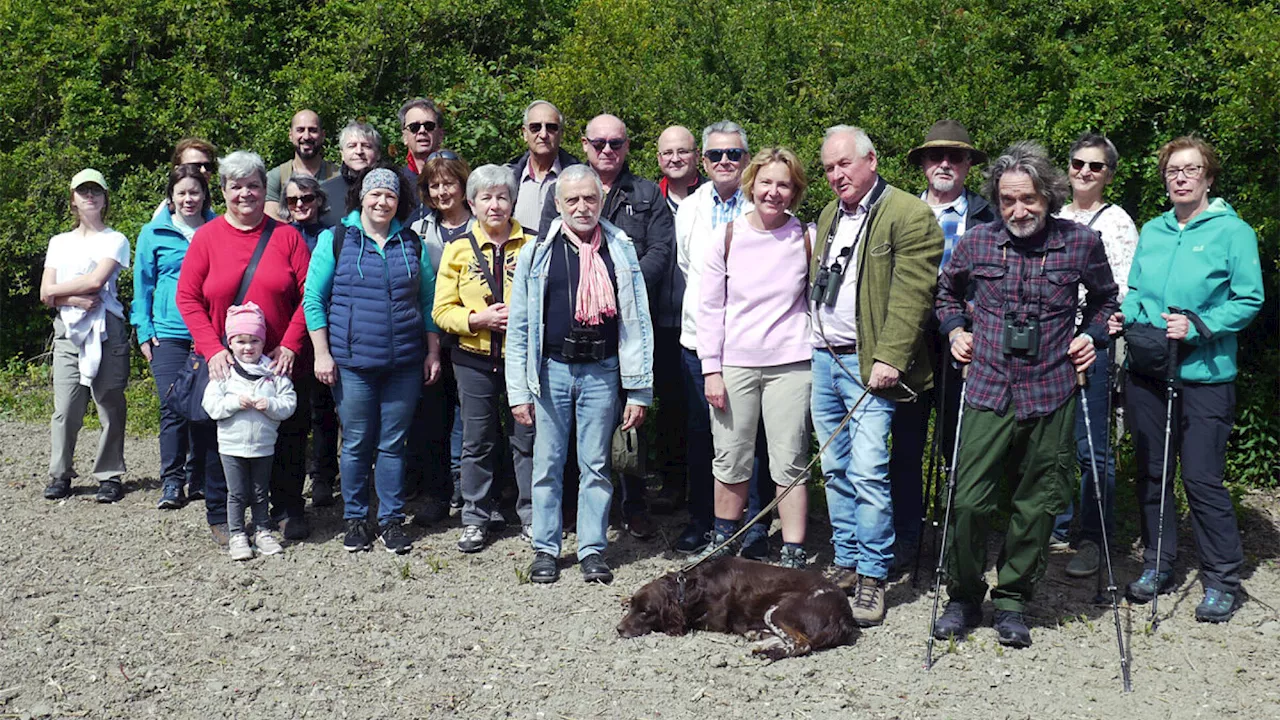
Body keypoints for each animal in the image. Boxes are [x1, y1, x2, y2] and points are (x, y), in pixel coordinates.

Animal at [616, 550, 860, 661]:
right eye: (633, 607)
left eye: (646, 612)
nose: (618, 629)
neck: (692, 587)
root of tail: (844, 613)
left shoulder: (713, 621)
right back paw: (759, 641)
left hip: (779, 611)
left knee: (802, 643)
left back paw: (768, 652)